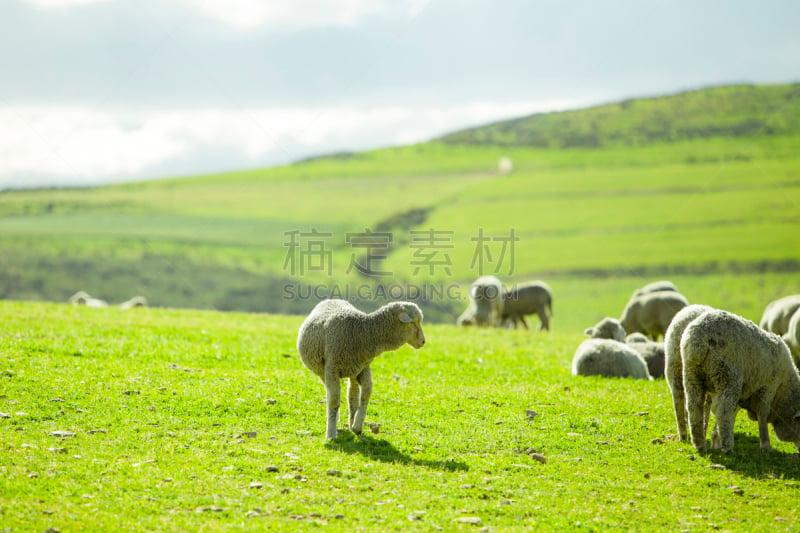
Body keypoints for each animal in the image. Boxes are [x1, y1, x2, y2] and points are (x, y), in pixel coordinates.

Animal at [296, 298, 424, 438]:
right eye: (413, 322)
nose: (423, 342)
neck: (362, 333)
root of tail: (332, 299)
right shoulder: (332, 368)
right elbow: (334, 400)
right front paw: (331, 434)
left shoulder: (364, 368)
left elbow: (366, 393)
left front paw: (357, 427)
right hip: (324, 371)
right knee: (333, 395)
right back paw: (336, 419)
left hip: (353, 369)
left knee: (352, 394)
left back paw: (352, 421)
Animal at [680, 308, 800, 454]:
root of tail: (699, 339)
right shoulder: (769, 387)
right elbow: (762, 415)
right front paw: (766, 445)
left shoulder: (744, 393)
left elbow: (734, 413)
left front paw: (716, 439)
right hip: (728, 376)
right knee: (723, 412)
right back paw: (727, 447)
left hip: (692, 375)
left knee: (694, 408)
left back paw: (700, 445)